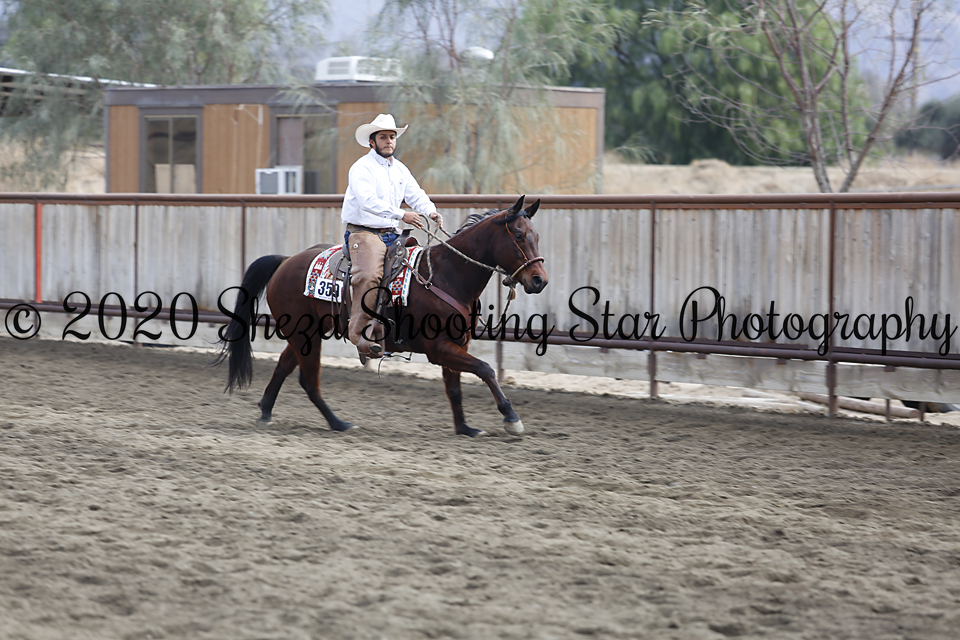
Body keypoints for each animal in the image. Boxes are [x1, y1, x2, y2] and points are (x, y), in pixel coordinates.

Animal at [216, 195, 548, 437]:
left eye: (537, 235)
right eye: (519, 235)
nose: (539, 280)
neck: (447, 275)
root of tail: (285, 261)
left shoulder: (457, 344)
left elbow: (454, 387)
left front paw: (465, 428)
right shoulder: (439, 348)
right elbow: (485, 369)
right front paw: (511, 417)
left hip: (305, 334)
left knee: (285, 367)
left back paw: (267, 411)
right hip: (304, 334)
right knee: (308, 381)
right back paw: (338, 423)